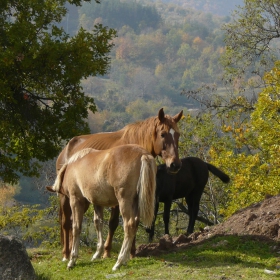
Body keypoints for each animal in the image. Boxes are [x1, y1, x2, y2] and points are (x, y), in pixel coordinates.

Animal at [57, 109, 184, 260]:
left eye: (178, 134)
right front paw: (107, 251)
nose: (175, 165)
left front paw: (131, 251)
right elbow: (113, 223)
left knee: (72, 221)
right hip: (65, 196)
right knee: (66, 223)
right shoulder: (117, 199)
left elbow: (133, 221)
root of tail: (67, 148)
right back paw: (66, 253)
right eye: (163, 134)